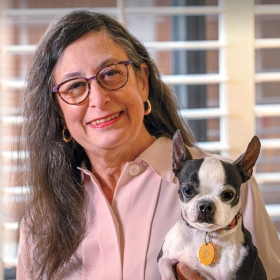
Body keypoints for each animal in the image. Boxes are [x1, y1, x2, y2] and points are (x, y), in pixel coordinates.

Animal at [158, 131, 266, 280]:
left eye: (228, 194)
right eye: (188, 190)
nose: (205, 205)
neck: (204, 232)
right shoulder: (164, 256)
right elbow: (165, 267)